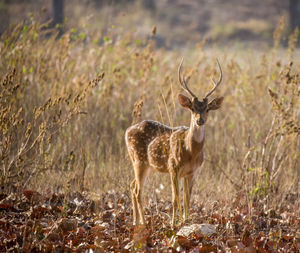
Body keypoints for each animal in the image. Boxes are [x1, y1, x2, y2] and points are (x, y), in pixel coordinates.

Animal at [125, 59, 225, 227]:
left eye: (207, 109)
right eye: (192, 108)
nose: (200, 120)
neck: (191, 152)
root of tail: (127, 131)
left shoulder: (191, 172)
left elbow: (187, 199)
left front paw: (187, 221)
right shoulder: (173, 167)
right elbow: (175, 199)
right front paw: (173, 224)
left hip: (148, 165)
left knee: (132, 185)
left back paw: (135, 221)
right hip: (139, 160)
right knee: (138, 190)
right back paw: (144, 223)